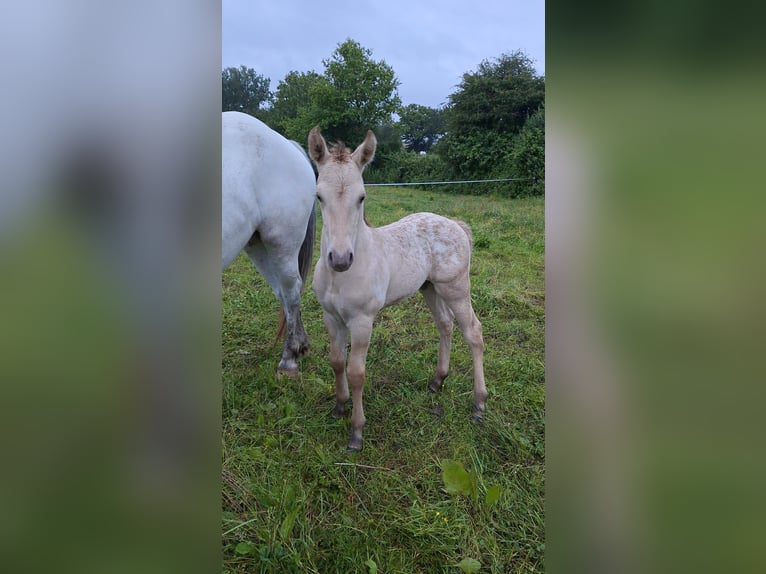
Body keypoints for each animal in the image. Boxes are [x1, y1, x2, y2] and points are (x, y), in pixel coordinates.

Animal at [222, 111, 318, 378]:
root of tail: (289, 145)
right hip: (258, 245)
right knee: (283, 293)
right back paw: (300, 346)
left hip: (281, 243)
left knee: (291, 290)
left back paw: (289, 359)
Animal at [306, 127, 486, 454]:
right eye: (319, 196)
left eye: (362, 197)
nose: (340, 259)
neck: (342, 277)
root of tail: (455, 224)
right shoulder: (331, 316)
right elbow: (336, 362)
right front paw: (339, 406)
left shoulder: (363, 320)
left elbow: (356, 373)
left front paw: (356, 432)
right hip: (430, 288)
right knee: (445, 325)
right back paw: (437, 381)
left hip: (455, 287)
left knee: (473, 332)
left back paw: (479, 404)